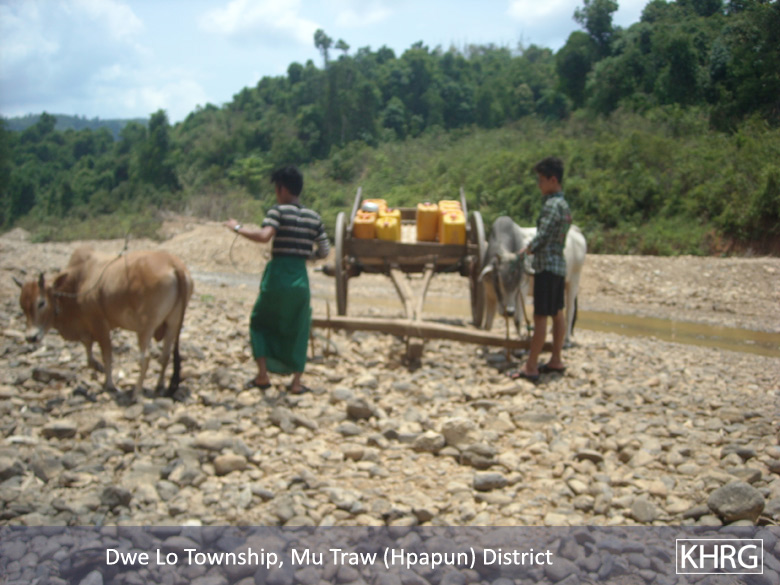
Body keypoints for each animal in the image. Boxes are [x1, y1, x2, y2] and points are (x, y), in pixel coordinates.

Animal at [14, 246, 194, 400]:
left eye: (41, 303)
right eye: (22, 306)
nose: (31, 337)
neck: (78, 281)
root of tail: (173, 263)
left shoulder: (99, 324)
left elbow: (107, 355)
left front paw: (109, 384)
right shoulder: (87, 327)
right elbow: (88, 350)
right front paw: (96, 366)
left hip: (145, 327)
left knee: (146, 357)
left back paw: (136, 392)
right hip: (172, 323)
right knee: (165, 355)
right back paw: (159, 386)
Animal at [478, 216, 586, 346]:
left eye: (518, 281)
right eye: (498, 279)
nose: (509, 311)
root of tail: (576, 231)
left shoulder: (522, 291)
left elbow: (517, 320)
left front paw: (519, 338)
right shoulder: (489, 293)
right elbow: (487, 324)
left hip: (574, 280)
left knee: (570, 311)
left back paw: (566, 340)